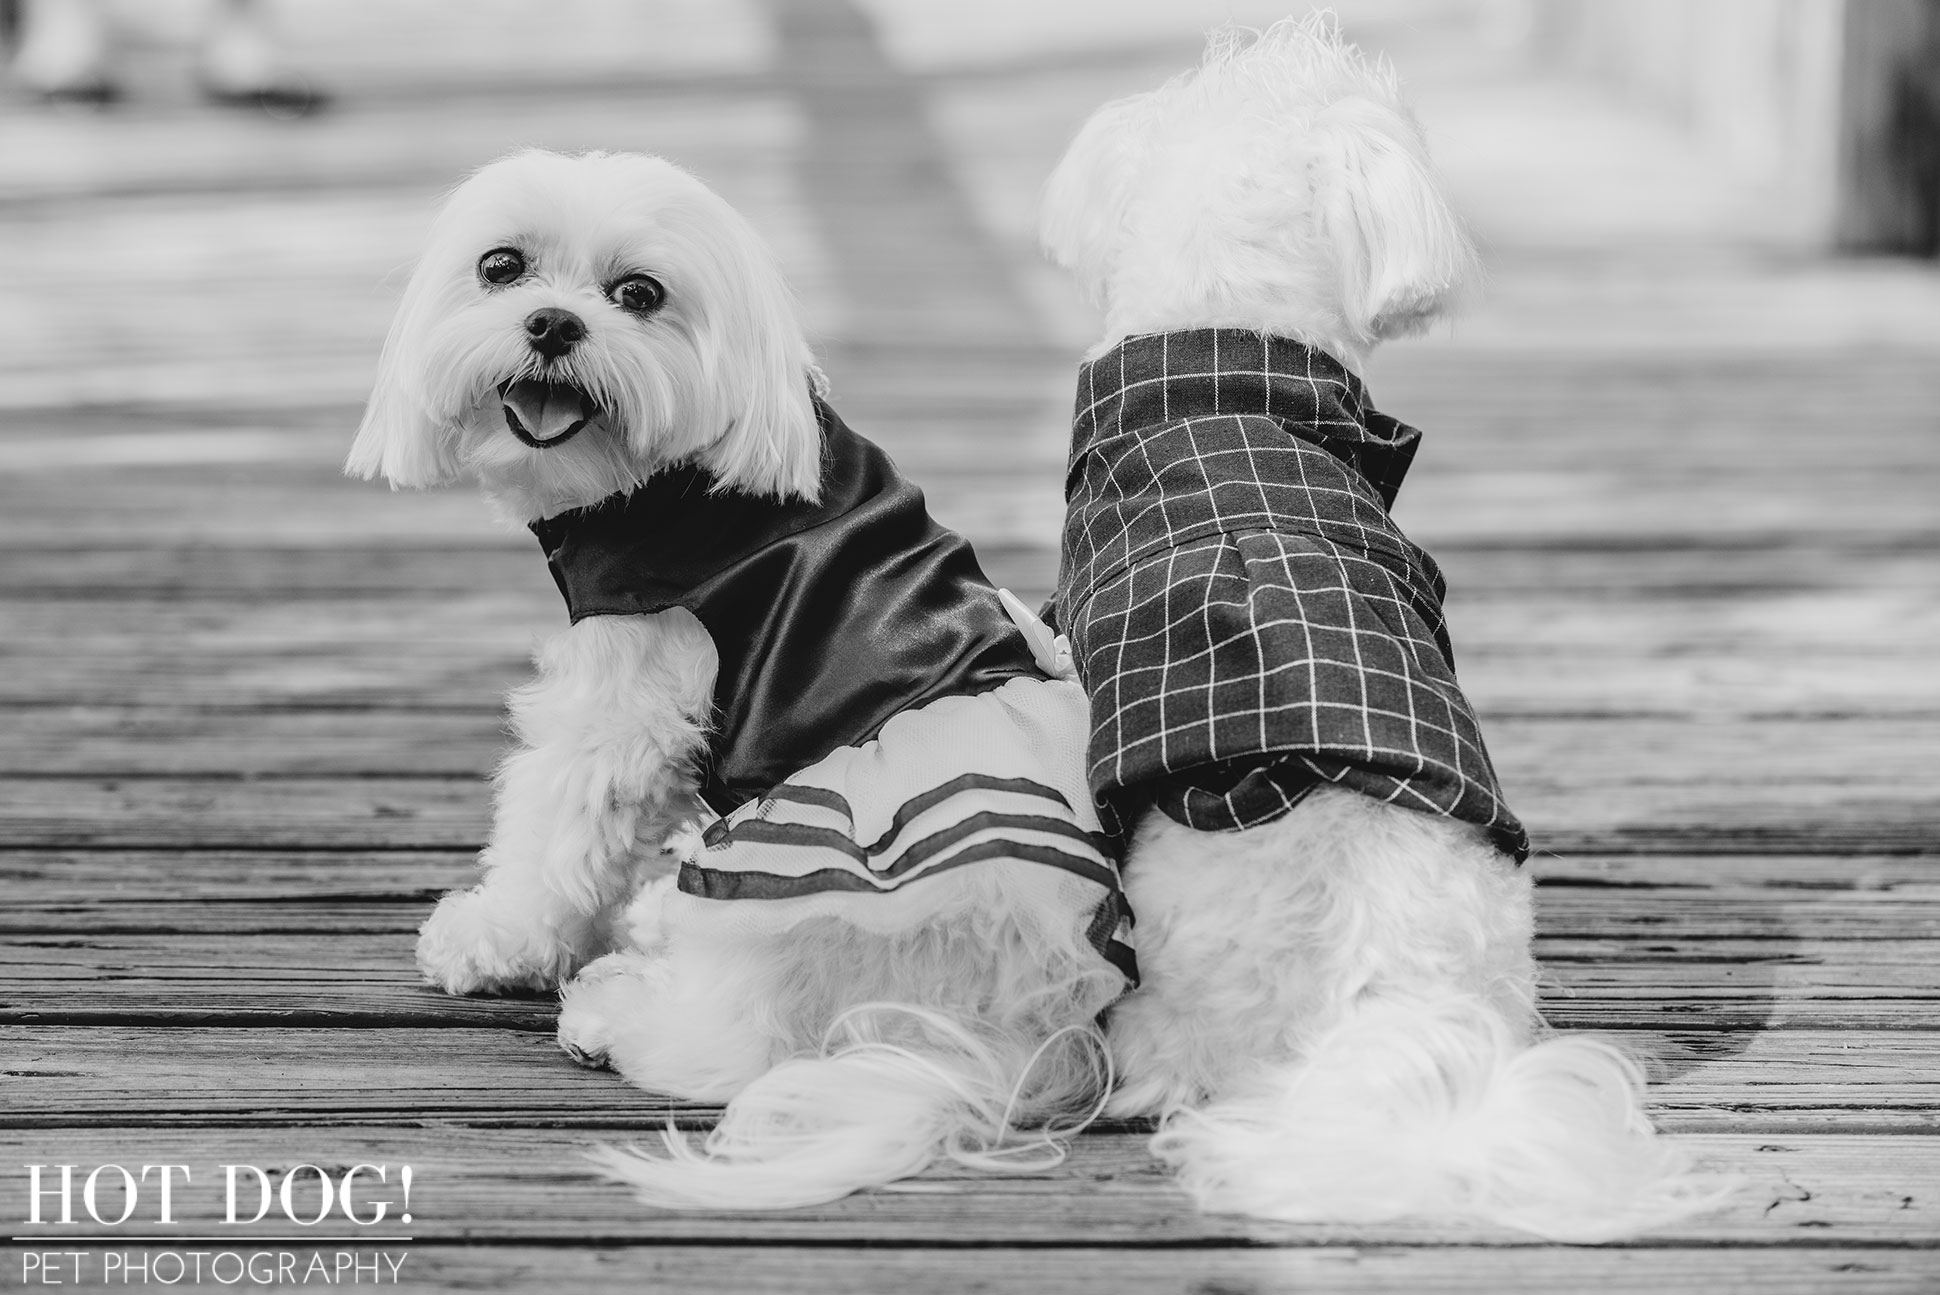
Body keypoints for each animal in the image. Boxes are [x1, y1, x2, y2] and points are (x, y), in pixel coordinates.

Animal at [353, 152, 1132, 1217]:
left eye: (640, 294)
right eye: (501, 266)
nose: (551, 323)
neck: (668, 479)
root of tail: (1021, 1033)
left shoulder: (628, 685)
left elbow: (555, 826)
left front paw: (497, 941)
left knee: (737, 1042)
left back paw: (613, 1013)